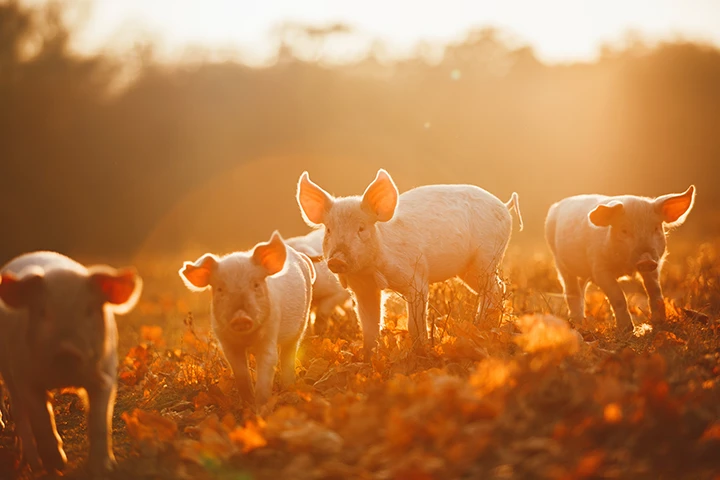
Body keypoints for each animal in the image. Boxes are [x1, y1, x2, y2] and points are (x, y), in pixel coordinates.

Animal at [0, 251, 143, 476]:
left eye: (89, 310)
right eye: (42, 312)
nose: (67, 351)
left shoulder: (106, 375)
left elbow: (99, 423)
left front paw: (103, 468)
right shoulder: (26, 379)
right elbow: (42, 419)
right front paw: (57, 466)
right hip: (9, 374)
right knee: (20, 415)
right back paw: (32, 464)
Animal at [179, 232, 314, 408]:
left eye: (255, 285)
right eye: (220, 289)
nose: (241, 317)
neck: (246, 338)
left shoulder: (270, 333)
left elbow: (268, 365)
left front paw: (261, 407)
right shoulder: (227, 343)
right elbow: (240, 373)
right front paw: (247, 404)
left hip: (300, 325)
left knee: (288, 355)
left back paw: (289, 388)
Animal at [296, 169, 524, 360]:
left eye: (361, 228)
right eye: (329, 230)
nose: (336, 259)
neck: (371, 270)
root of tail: (504, 205)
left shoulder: (416, 278)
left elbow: (413, 323)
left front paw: (419, 353)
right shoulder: (363, 289)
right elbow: (369, 326)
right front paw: (367, 359)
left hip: (487, 257)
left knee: (495, 289)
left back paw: (484, 327)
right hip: (468, 270)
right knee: (497, 288)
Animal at [544, 186, 696, 332]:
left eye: (656, 228)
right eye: (624, 230)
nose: (646, 260)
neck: (625, 268)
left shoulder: (655, 264)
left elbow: (655, 291)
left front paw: (659, 323)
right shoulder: (599, 268)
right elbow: (618, 296)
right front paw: (627, 330)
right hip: (560, 263)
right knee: (571, 291)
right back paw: (578, 323)